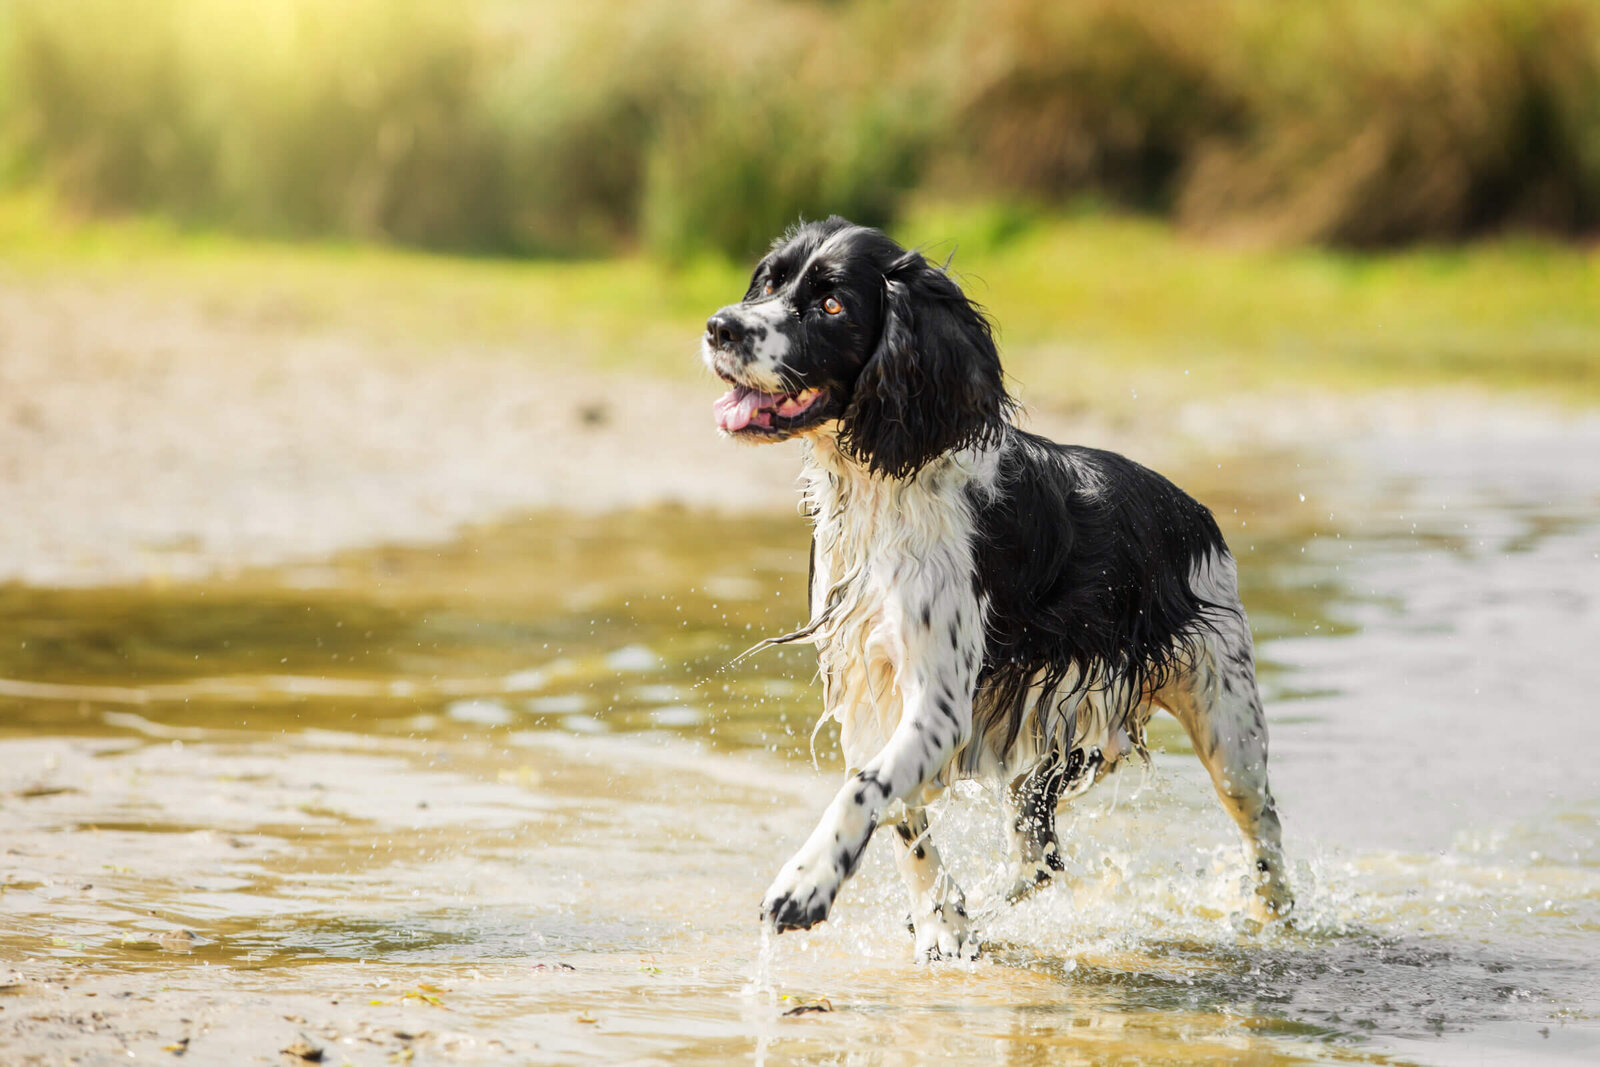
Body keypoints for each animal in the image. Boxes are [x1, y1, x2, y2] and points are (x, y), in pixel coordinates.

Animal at [700, 214, 1286, 959]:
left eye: (831, 304)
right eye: (770, 281)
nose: (720, 327)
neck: (886, 490)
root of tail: (1198, 513)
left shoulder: (939, 701)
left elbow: (865, 789)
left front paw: (805, 884)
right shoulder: (870, 690)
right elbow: (901, 815)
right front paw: (942, 923)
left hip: (1226, 727)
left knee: (1263, 830)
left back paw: (1273, 918)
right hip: (1060, 741)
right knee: (1040, 856)